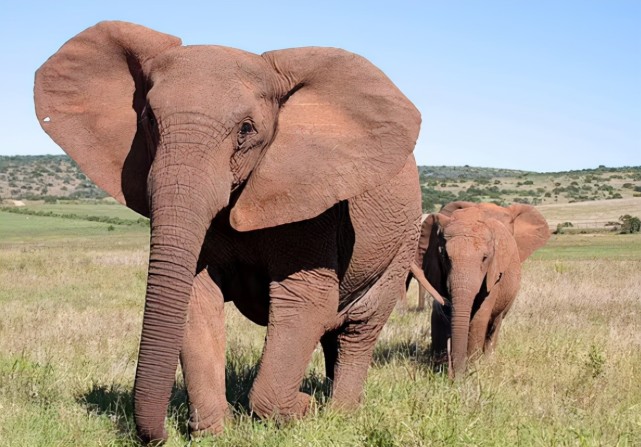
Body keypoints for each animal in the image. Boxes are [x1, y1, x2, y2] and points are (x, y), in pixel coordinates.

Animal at [36, 21, 424, 444]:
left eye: (246, 130)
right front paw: (215, 432)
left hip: (404, 240)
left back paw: (340, 413)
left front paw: (301, 408)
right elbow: (196, 298)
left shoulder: (316, 206)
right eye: (149, 120)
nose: (158, 435)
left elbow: (306, 302)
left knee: (358, 328)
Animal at [416, 202, 552, 378]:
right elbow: (438, 314)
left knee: (495, 324)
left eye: (485, 258)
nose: (455, 377)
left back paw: (487, 360)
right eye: (444, 256)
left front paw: (472, 367)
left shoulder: (495, 273)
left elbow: (480, 317)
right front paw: (438, 367)